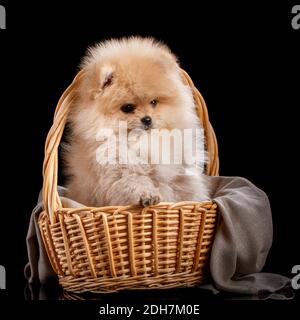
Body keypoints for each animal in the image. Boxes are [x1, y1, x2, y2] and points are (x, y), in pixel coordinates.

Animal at [63, 37, 209, 208]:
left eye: (153, 102)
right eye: (127, 108)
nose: (147, 119)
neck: (143, 139)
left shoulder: (181, 167)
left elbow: (183, 185)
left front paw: (195, 200)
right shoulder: (118, 171)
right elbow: (135, 182)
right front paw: (148, 196)